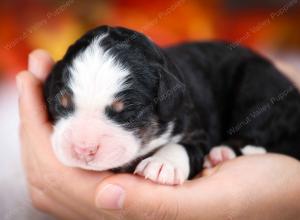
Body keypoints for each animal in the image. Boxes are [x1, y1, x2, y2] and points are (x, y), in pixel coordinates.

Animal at [43, 24, 300, 185]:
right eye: (61, 104)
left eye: (128, 114)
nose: (82, 149)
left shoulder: (194, 128)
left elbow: (183, 146)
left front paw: (161, 164)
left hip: (260, 86)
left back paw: (223, 153)